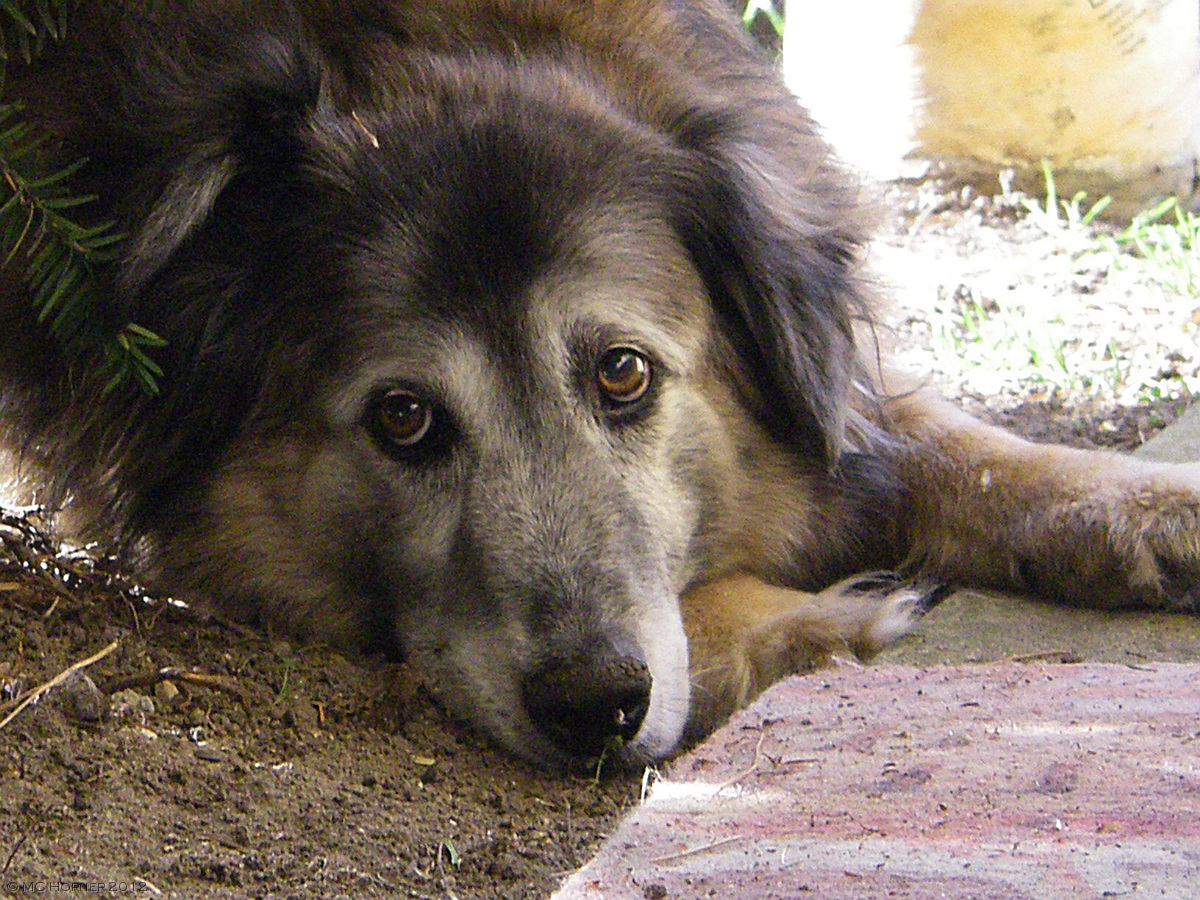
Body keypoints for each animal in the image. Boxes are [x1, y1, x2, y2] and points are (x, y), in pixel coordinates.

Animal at [2, 1, 1200, 777]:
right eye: (404, 417)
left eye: (623, 371)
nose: (594, 710)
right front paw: (821, 622)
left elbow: (943, 443)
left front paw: (1148, 508)